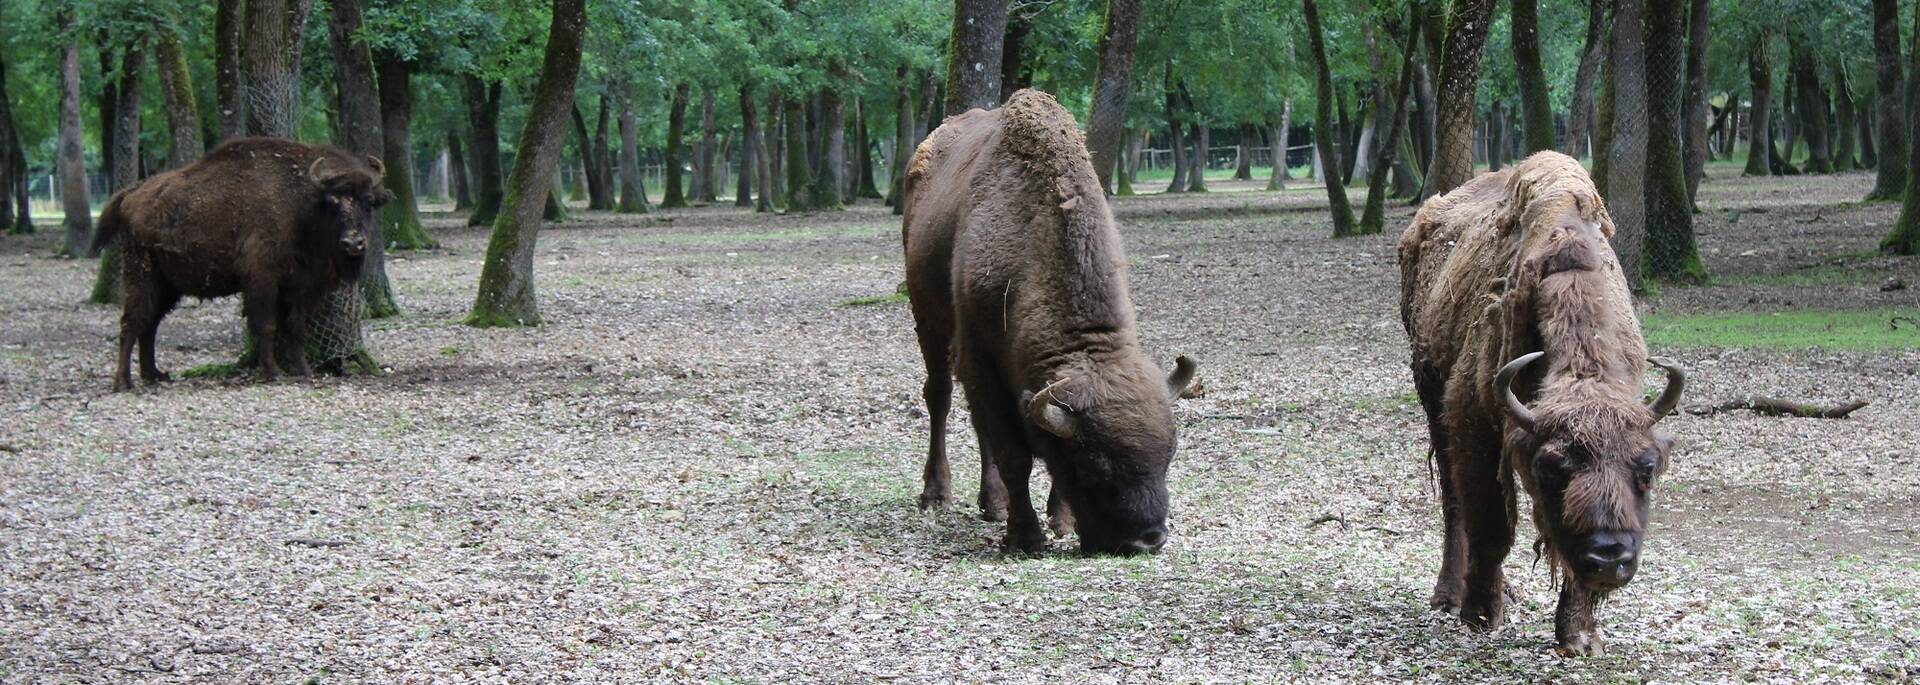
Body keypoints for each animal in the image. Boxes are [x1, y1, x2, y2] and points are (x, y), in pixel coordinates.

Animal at [97, 136, 389, 389]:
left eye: (369, 202)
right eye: (332, 202)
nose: (353, 243)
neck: (302, 205)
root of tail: (131, 194)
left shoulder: (298, 286)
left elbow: (295, 327)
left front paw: (303, 370)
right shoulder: (262, 280)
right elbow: (267, 326)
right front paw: (273, 373)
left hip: (167, 285)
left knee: (150, 324)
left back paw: (154, 375)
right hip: (141, 275)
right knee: (131, 322)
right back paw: (124, 382)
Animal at [902, 88, 1198, 556]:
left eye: (1169, 455)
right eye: (1096, 467)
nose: (1148, 539)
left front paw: (1061, 522)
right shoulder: (980, 360)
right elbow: (1014, 453)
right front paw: (1025, 537)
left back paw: (993, 504)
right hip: (927, 321)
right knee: (940, 397)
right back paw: (937, 494)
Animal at [1397, 152, 1681, 652]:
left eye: (1648, 468)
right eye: (1552, 468)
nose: (1610, 557)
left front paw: (1581, 637)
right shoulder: (1473, 423)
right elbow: (1490, 526)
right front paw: (1481, 614)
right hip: (1432, 402)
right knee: (1454, 506)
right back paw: (1451, 595)